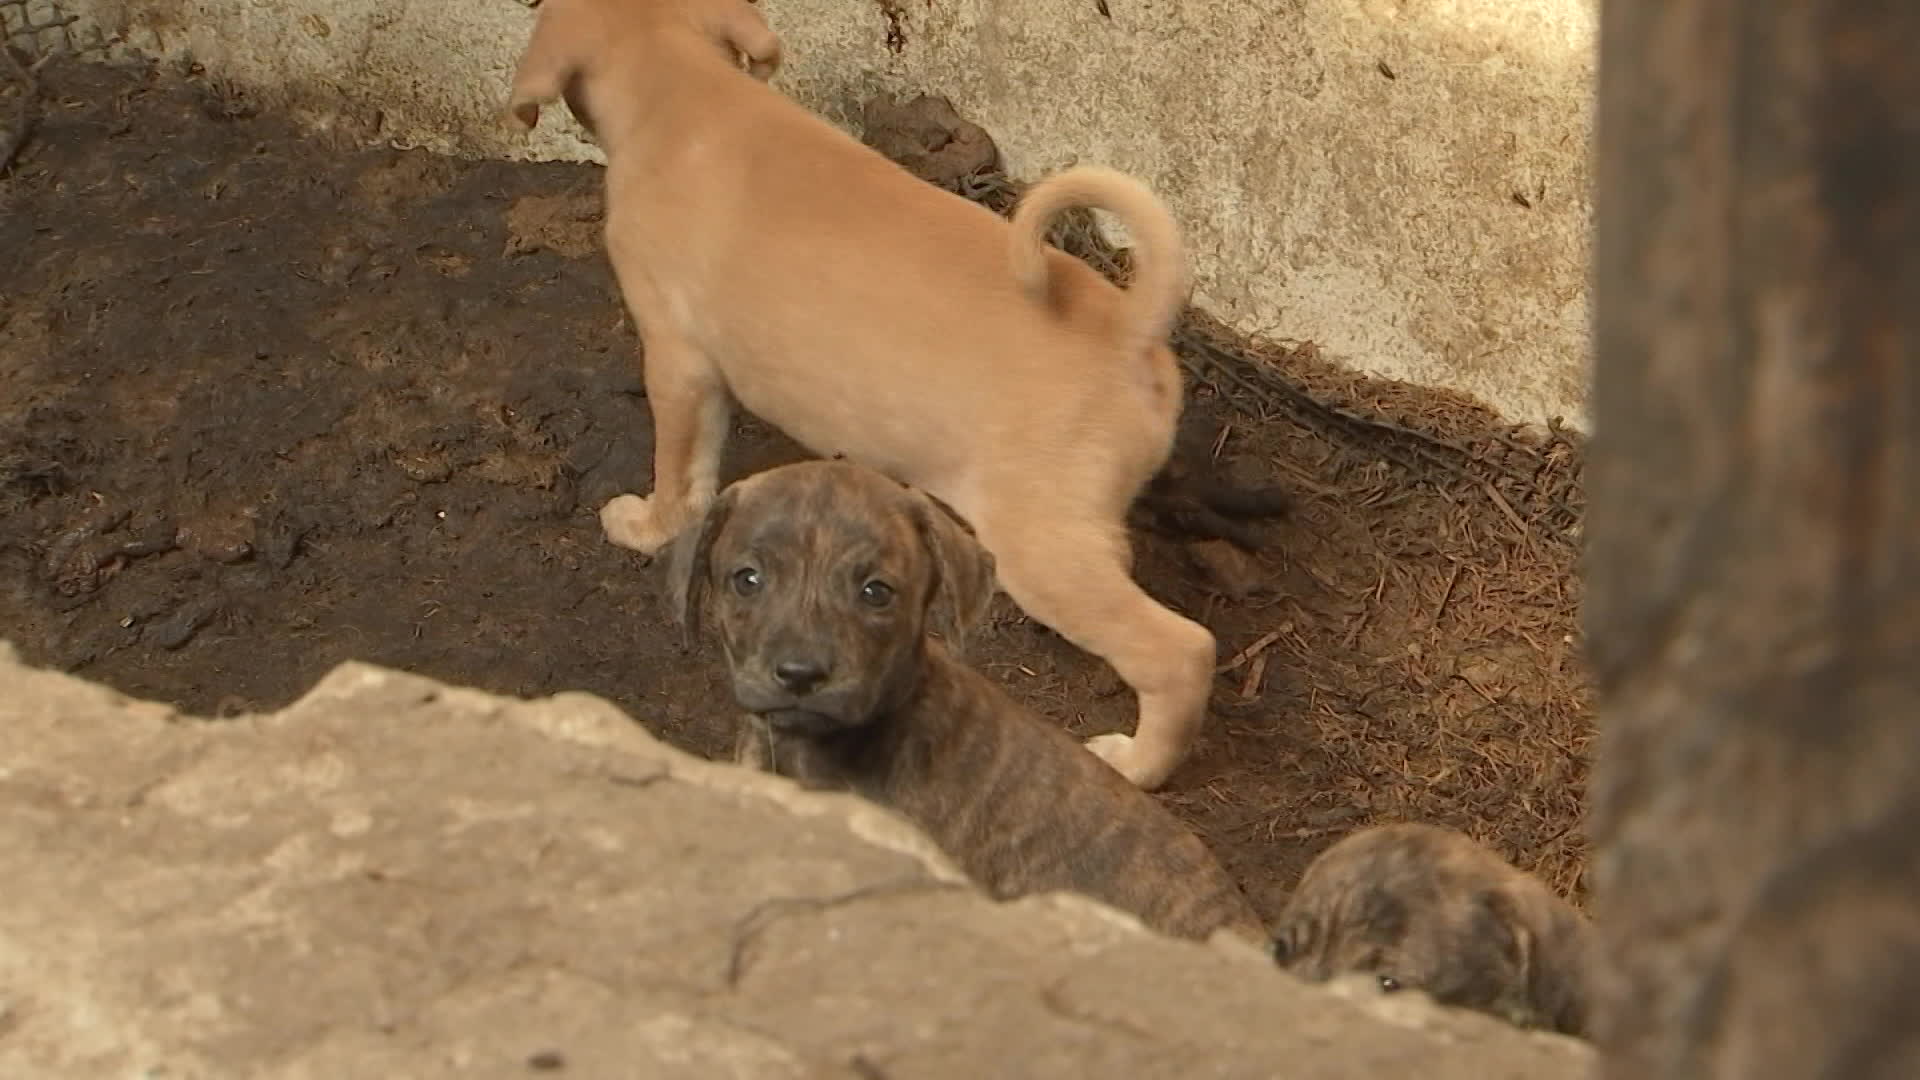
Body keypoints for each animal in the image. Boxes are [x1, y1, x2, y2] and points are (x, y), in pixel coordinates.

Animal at [506, 0, 1213, 787]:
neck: (684, 92)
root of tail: (1129, 325)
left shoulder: (678, 360)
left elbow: (679, 474)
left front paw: (644, 526)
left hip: (1045, 547)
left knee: (1181, 652)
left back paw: (1138, 762)